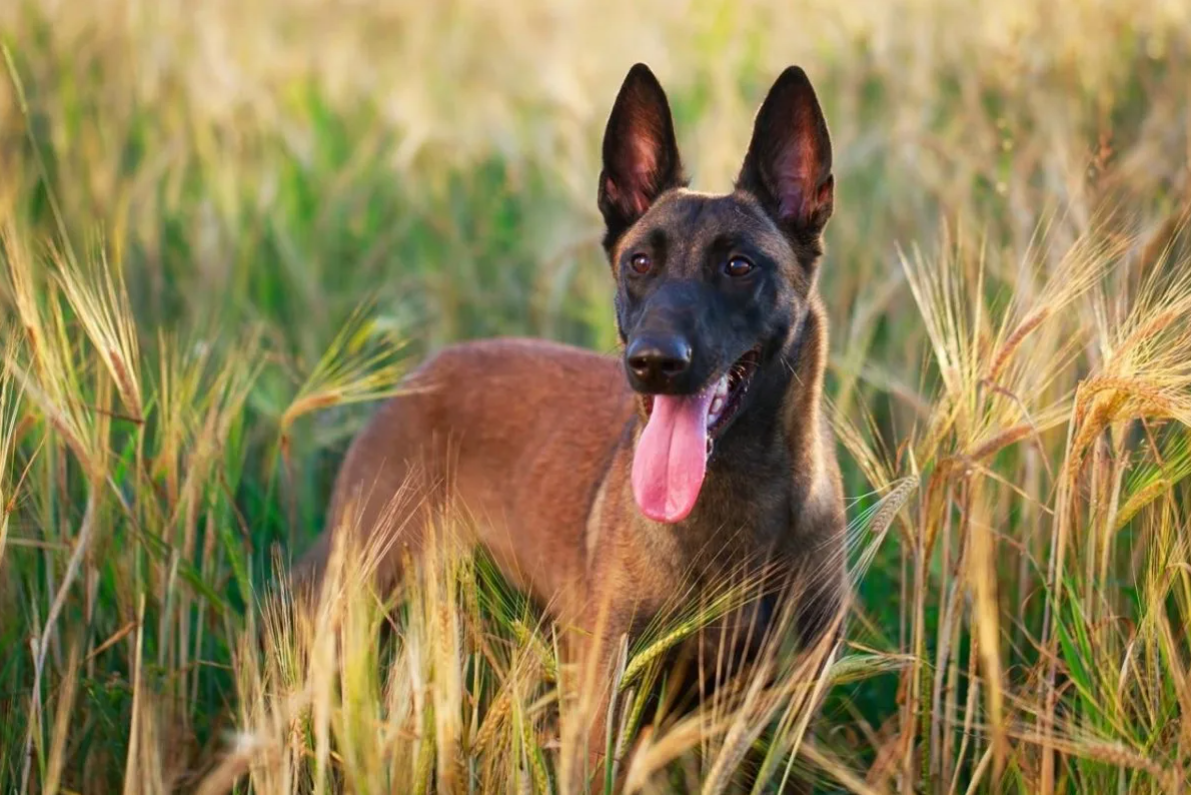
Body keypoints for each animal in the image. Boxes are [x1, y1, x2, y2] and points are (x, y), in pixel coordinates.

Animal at [296, 63, 847, 790]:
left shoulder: (773, 715)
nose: (651, 361)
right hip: (359, 602)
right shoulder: (604, 710)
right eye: (639, 262)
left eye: (738, 266)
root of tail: (421, 376)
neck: (732, 505)